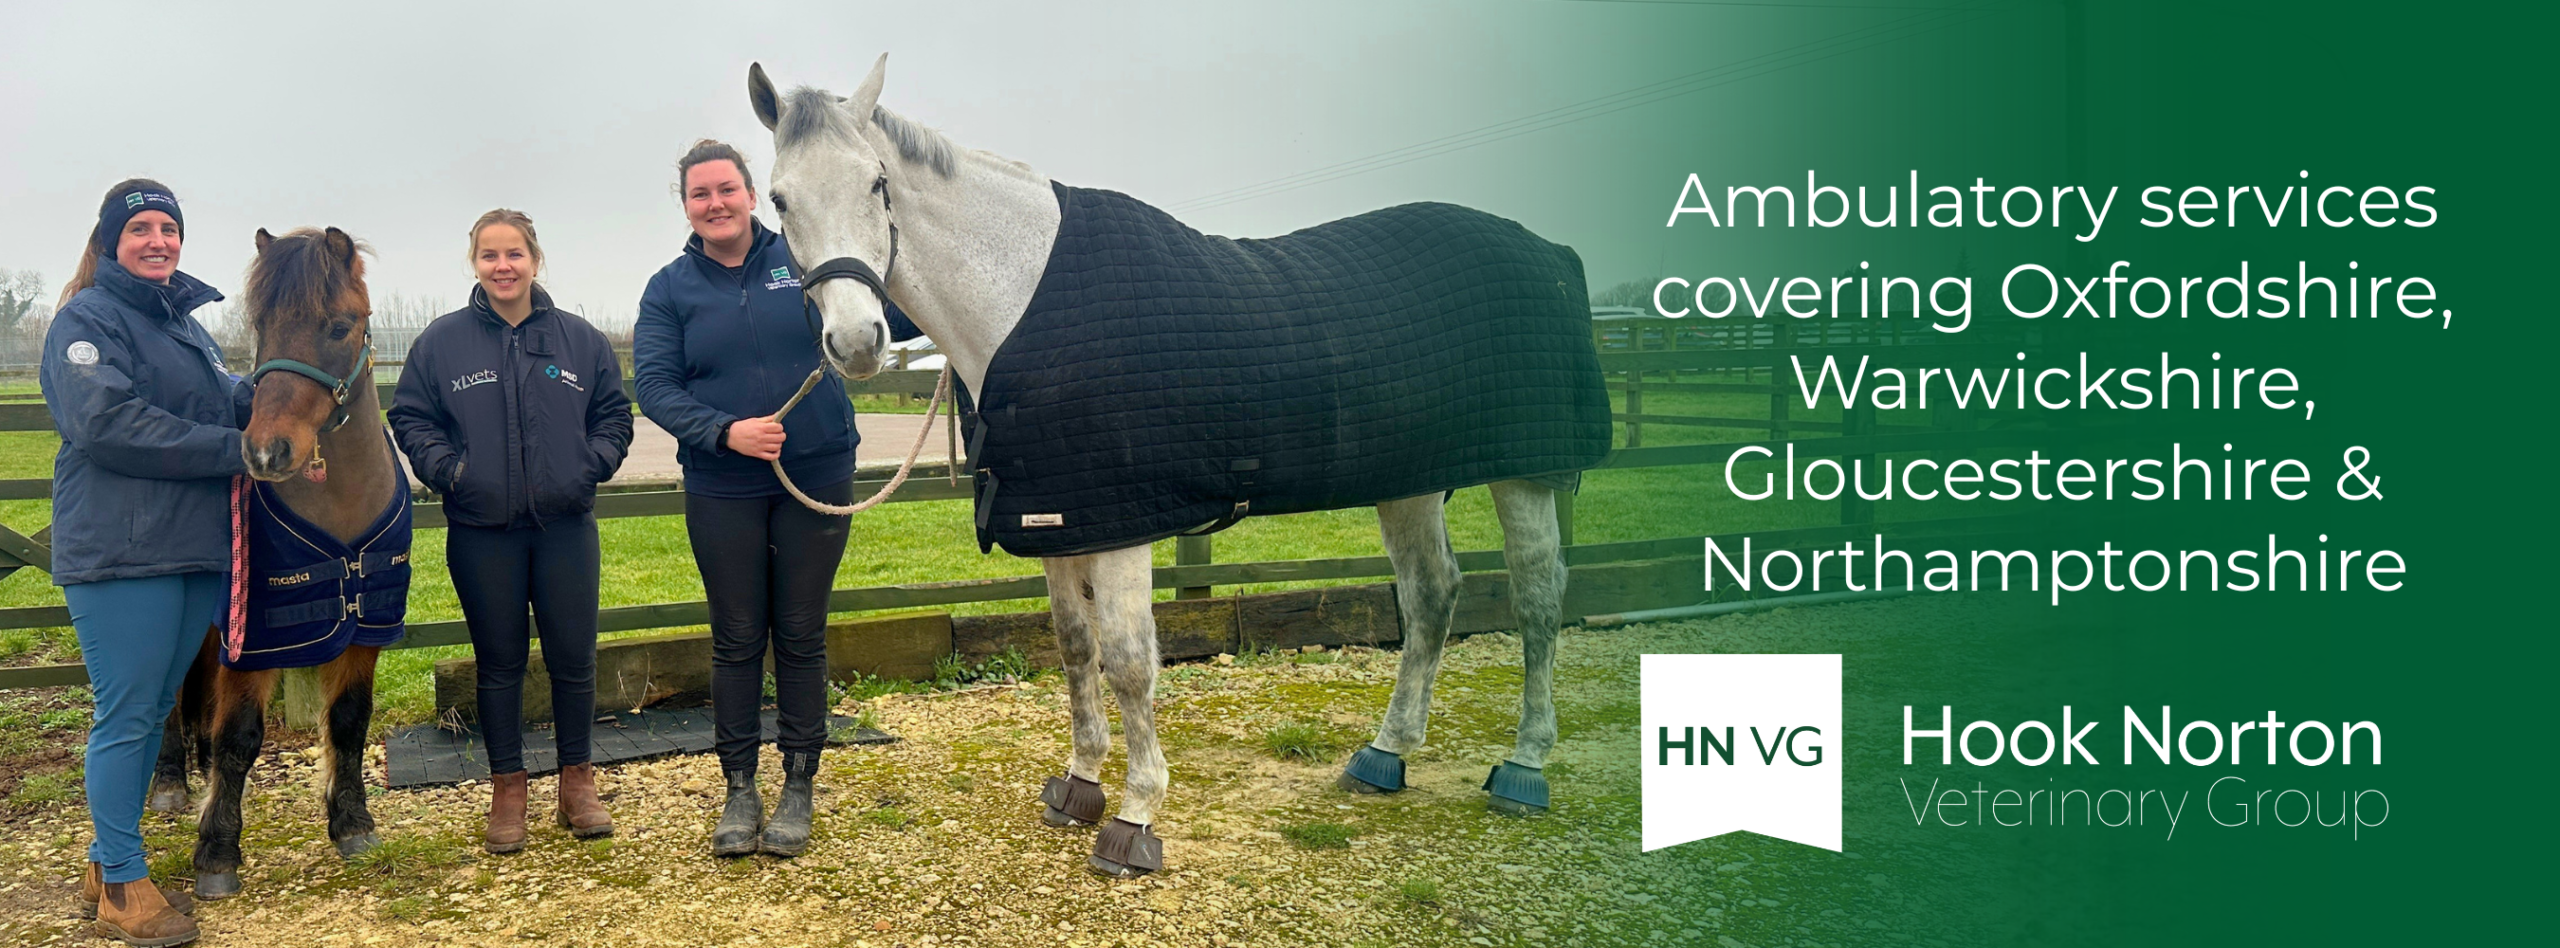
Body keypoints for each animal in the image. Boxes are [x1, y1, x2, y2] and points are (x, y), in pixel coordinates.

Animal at [149, 227, 404, 900]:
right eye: (262, 324)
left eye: (339, 326)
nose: (266, 452)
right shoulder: (256, 640)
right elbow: (240, 736)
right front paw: (216, 852)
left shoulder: (365, 628)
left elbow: (348, 722)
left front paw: (352, 824)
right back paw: (170, 783)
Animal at [747, 57, 1608, 878]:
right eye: (781, 200)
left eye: (877, 182)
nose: (857, 342)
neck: (1019, 297)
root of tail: (1552, 253)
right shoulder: (1062, 517)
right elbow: (1074, 648)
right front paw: (1080, 785)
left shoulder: (1123, 523)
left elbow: (1130, 664)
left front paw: (1134, 818)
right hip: (1412, 482)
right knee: (1431, 597)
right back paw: (1384, 754)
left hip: (1528, 476)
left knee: (1538, 599)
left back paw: (1525, 766)